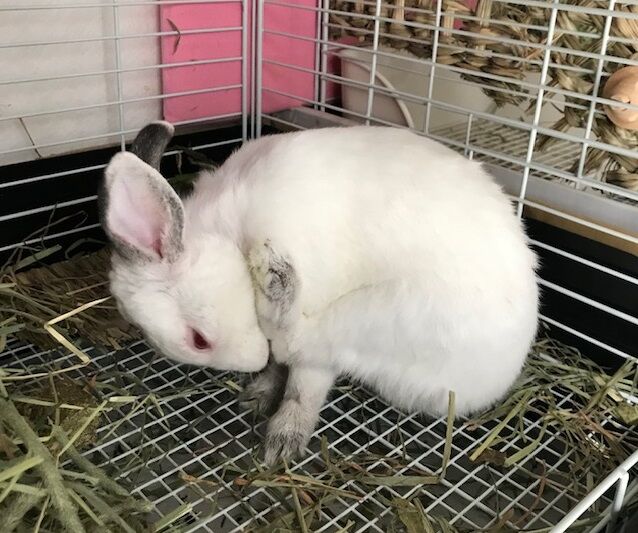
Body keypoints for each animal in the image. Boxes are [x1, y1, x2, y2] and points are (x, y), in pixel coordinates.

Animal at [99, 121, 539, 464]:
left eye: (199, 340)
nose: (252, 361)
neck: (230, 234)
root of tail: (499, 379)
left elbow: (303, 386)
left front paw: (280, 439)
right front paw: (261, 389)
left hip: (379, 316)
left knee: (297, 338)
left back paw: (274, 279)